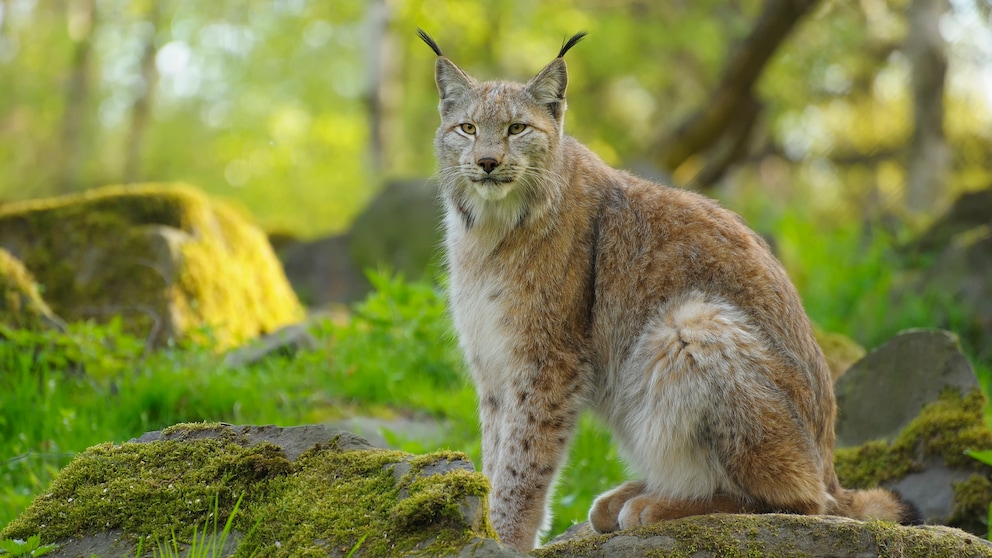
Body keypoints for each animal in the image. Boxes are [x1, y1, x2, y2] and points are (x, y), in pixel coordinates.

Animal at [416, 29, 916, 552]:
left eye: (517, 129)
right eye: (467, 128)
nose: (487, 163)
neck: (490, 228)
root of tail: (832, 463)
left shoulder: (547, 359)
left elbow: (523, 459)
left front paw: (505, 538)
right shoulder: (493, 362)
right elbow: (497, 451)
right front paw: (488, 525)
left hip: (688, 323)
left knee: (807, 502)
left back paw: (661, 505)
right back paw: (631, 496)